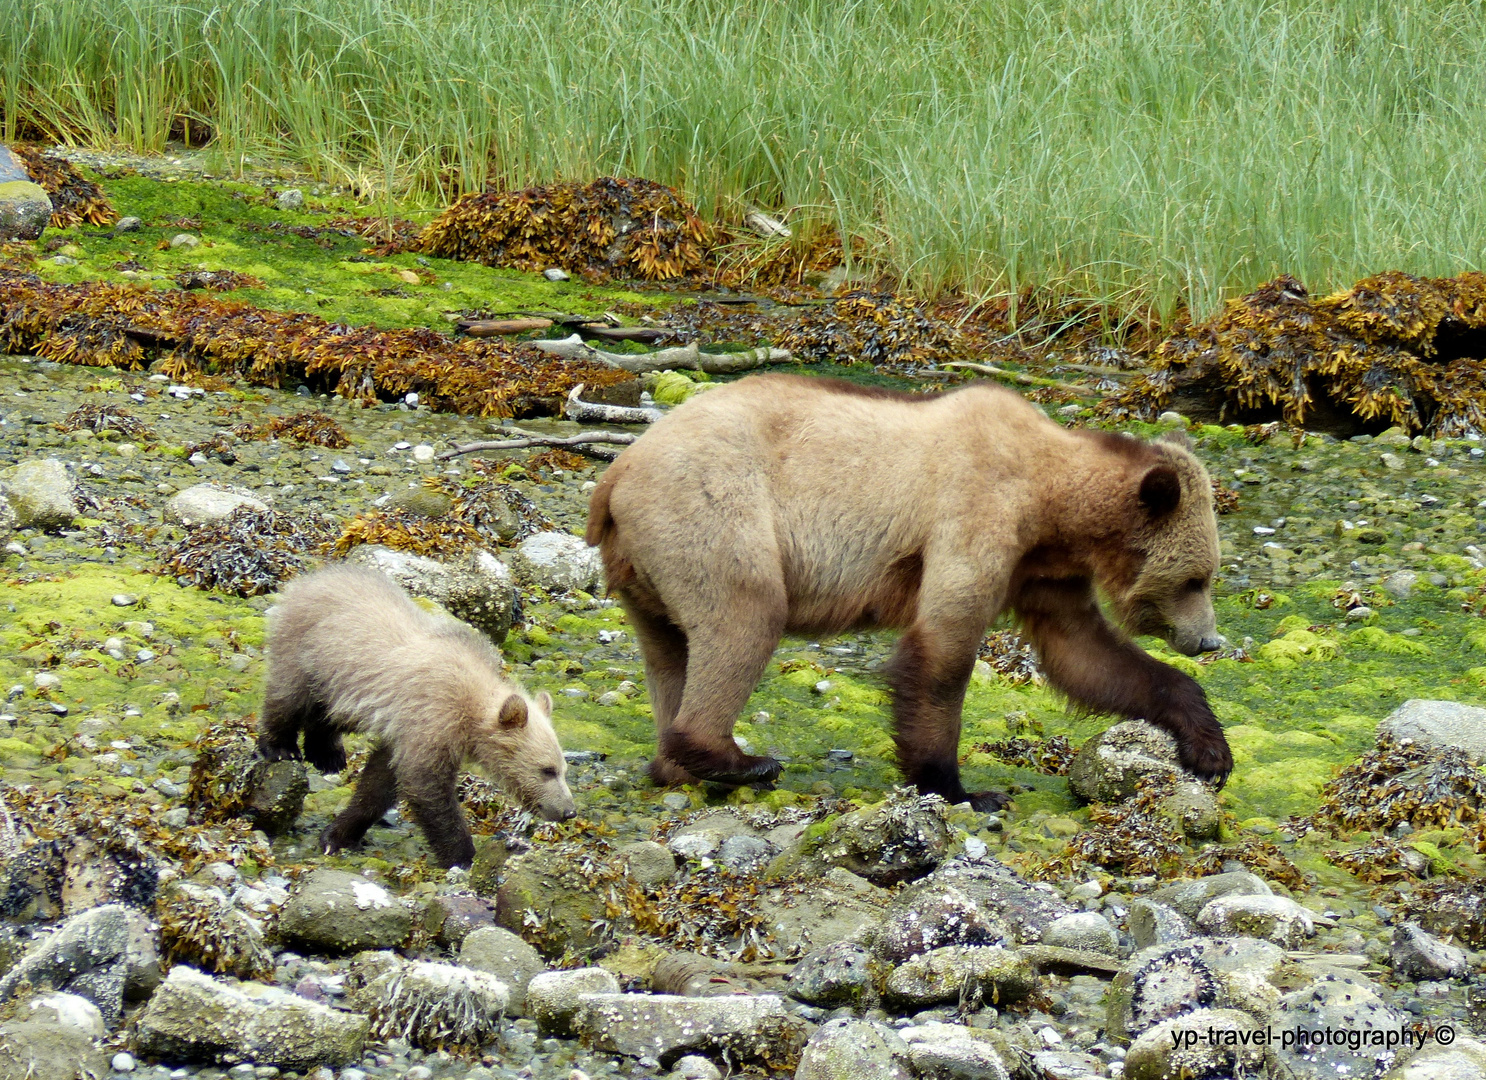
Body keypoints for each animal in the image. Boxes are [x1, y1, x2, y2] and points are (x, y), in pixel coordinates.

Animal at [585, 375, 1224, 808]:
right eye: (1195, 580)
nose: (1209, 640)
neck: (1054, 505)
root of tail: (616, 472)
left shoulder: (1044, 571)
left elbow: (1086, 654)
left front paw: (1209, 748)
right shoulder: (976, 513)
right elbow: (941, 651)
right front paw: (960, 787)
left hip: (649, 569)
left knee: (670, 651)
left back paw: (673, 764)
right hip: (712, 513)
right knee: (745, 616)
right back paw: (737, 760)